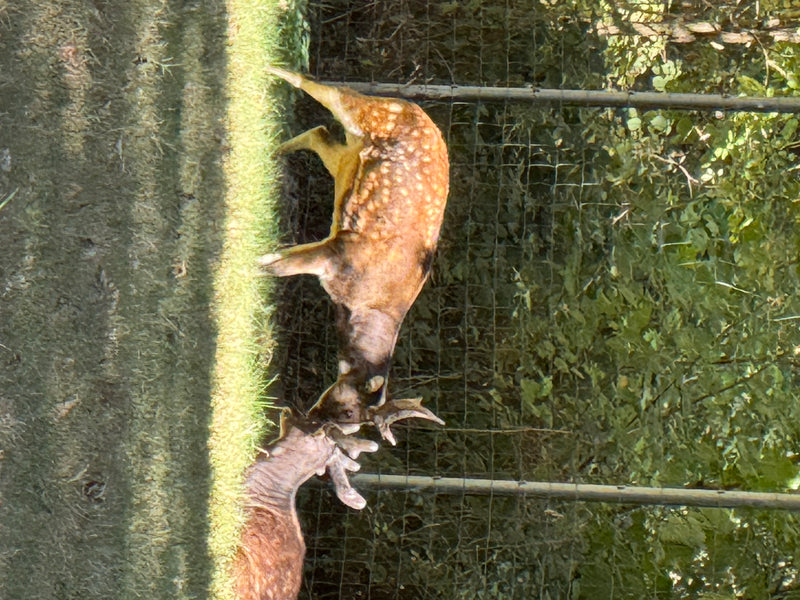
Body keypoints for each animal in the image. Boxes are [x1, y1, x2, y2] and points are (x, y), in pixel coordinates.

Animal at [260, 67, 449, 443]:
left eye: (353, 421)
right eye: (351, 412)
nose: (316, 420)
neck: (357, 301)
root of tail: (412, 106)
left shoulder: (331, 249)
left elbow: (277, 258)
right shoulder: (337, 253)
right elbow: (273, 267)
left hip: (348, 159)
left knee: (320, 133)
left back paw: (273, 151)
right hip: (363, 113)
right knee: (322, 90)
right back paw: (269, 70)